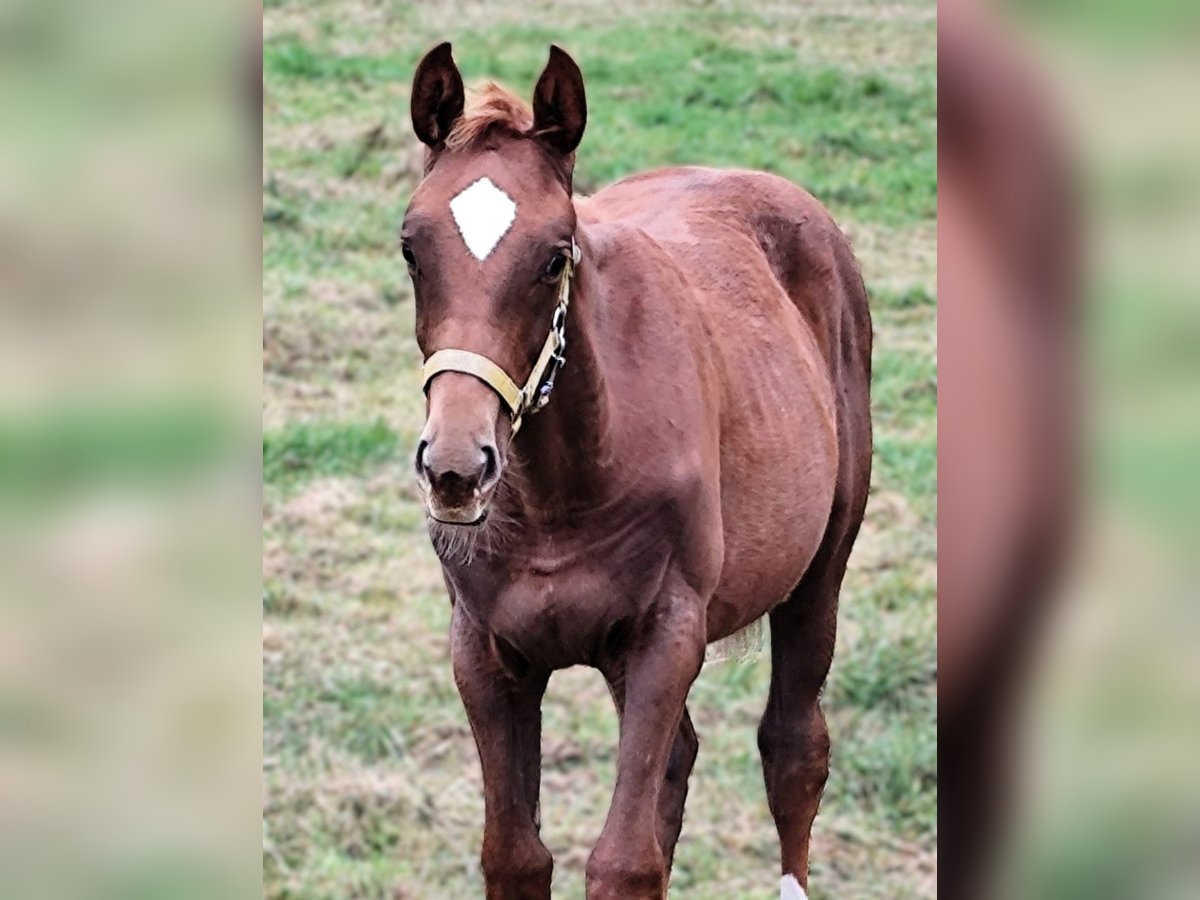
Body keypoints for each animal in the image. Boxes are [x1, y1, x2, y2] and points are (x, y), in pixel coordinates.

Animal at [403, 44, 873, 900]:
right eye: (411, 248)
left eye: (555, 255)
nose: (456, 468)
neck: (557, 495)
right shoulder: (483, 652)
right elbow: (517, 856)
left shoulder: (667, 636)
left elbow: (624, 860)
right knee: (681, 762)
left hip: (820, 568)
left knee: (795, 751)